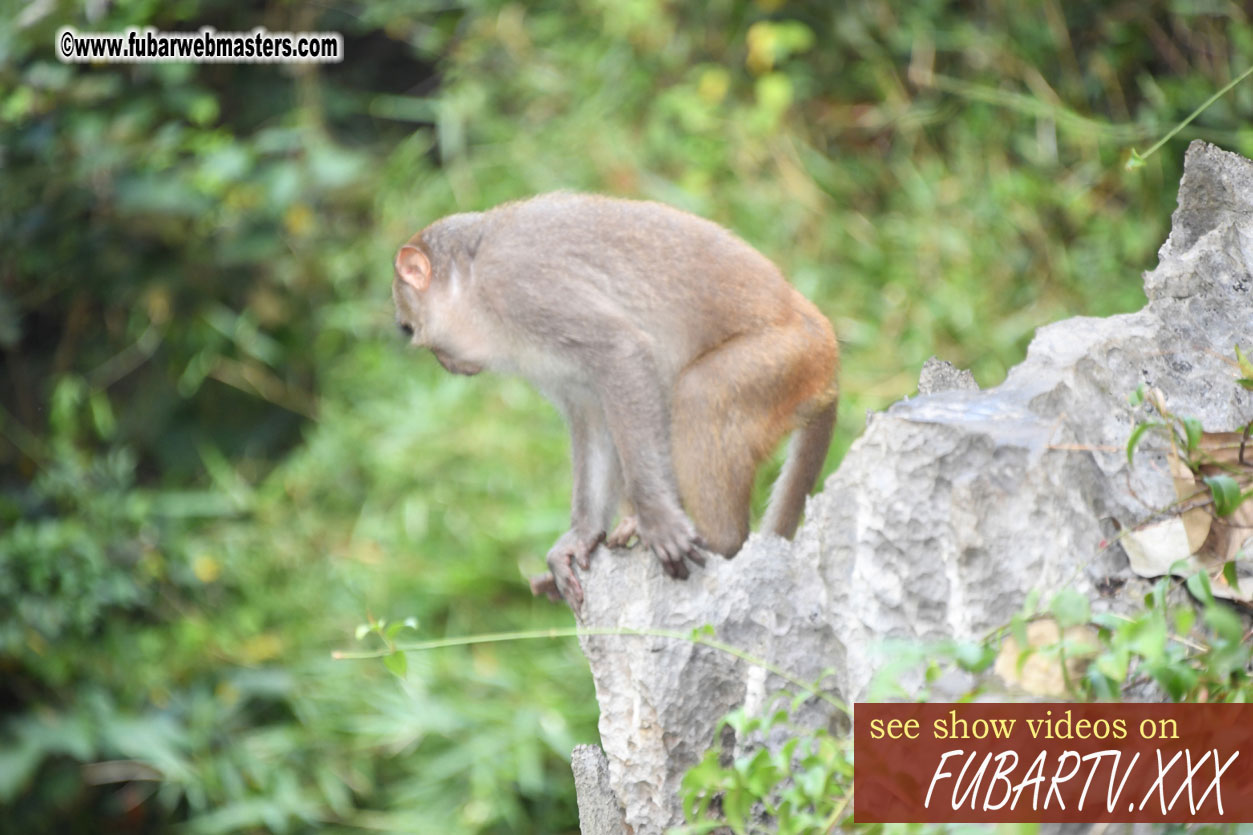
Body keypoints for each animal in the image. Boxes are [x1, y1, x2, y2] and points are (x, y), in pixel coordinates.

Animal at [395, 193, 837, 611]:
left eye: (409, 328)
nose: (444, 362)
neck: (471, 280)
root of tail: (825, 344)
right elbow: (592, 414)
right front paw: (581, 536)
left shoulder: (520, 286)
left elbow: (620, 352)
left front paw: (659, 521)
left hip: (783, 358)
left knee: (701, 391)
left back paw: (719, 540)